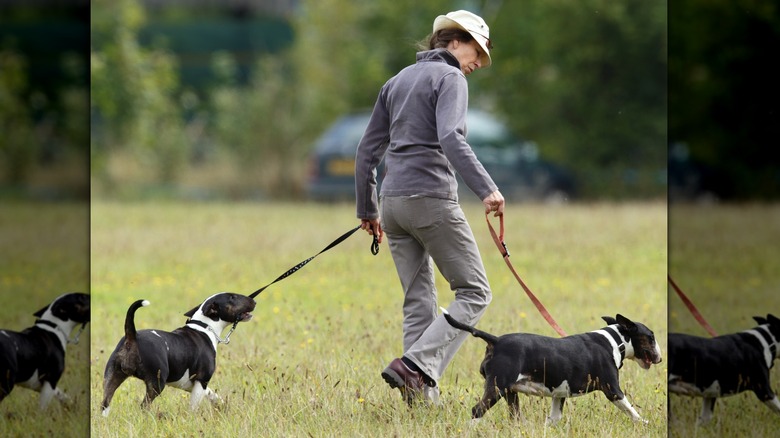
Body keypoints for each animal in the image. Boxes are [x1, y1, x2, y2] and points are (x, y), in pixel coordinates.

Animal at [100, 292, 256, 416]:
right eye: (232, 297)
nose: (253, 300)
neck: (205, 327)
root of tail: (132, 337)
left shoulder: (190, 384)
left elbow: (212, 394)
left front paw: (222, 406)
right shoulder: (201, 380)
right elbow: (193, 407)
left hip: (112, 376)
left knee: (105, 403)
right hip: (156, 383)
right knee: (144, 406)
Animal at [442, 308, 660, 424]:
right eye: (650, 337)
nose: (660, 357)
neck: (616, 341)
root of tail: (495, 341)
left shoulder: (559, 393)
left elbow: (554, 418)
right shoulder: (613, 389)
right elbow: (630, 410)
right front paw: (645, 423)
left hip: (510, 392)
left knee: (514, 416)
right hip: (497, 387)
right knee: (476, 410)